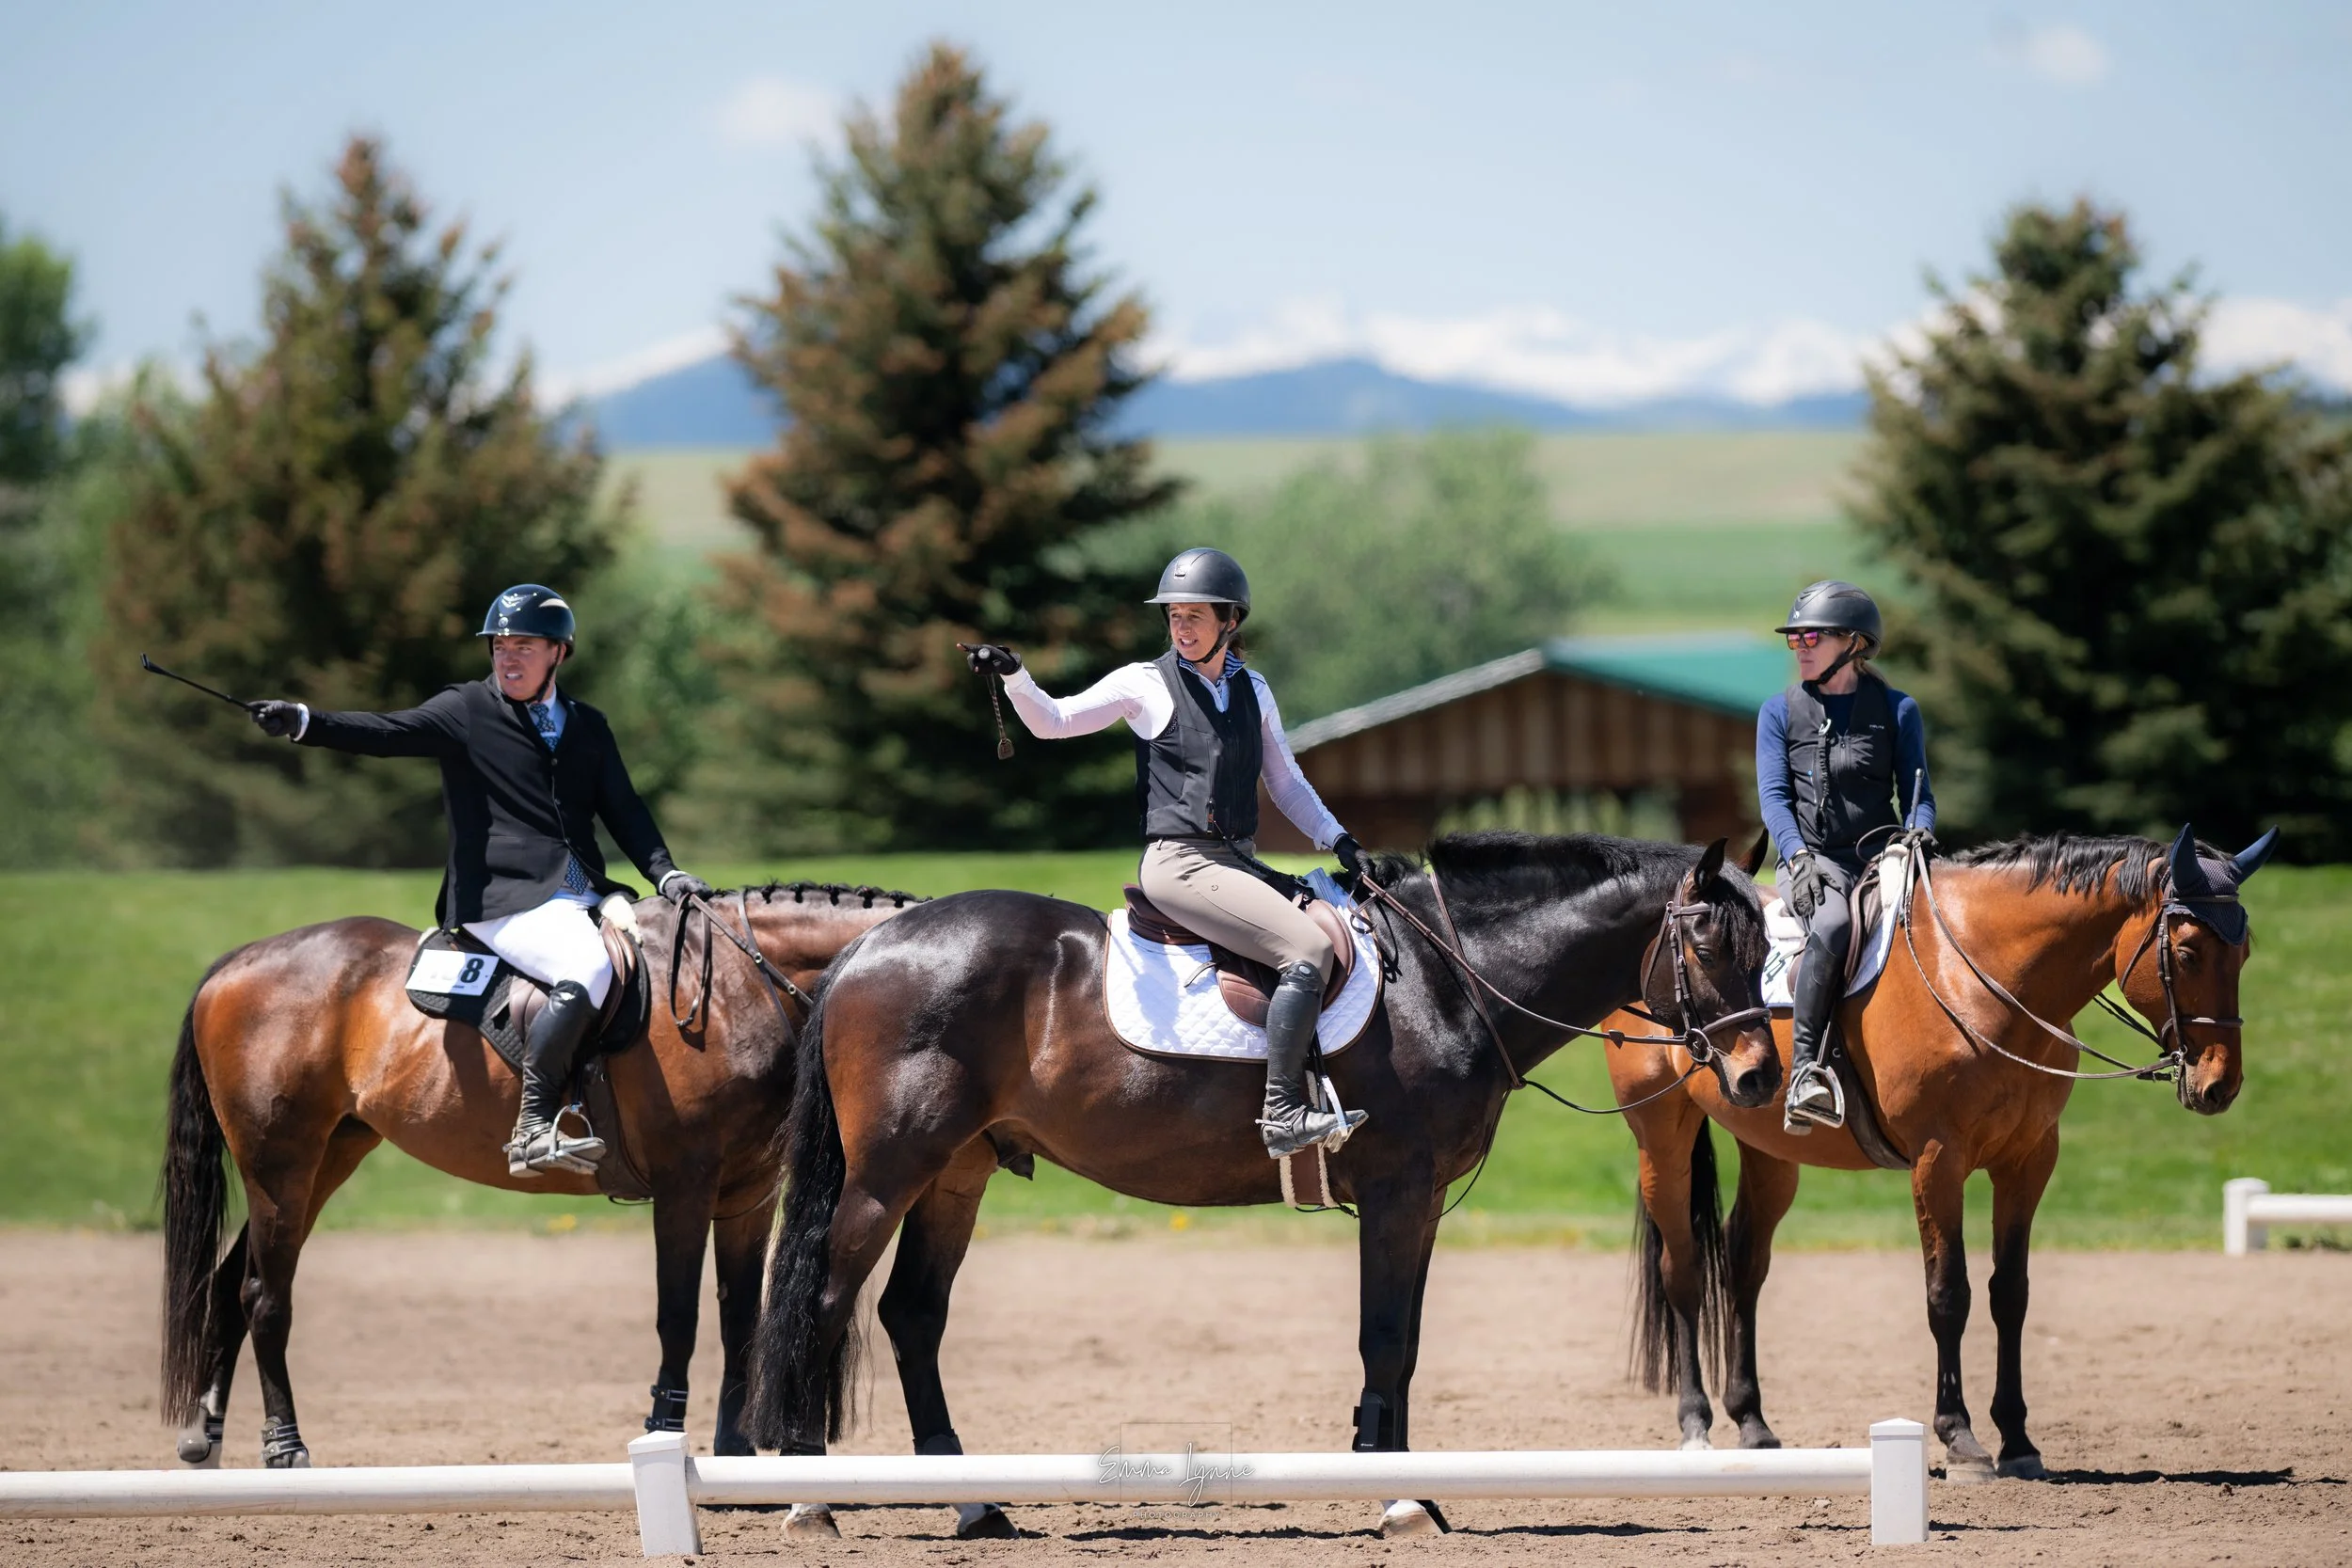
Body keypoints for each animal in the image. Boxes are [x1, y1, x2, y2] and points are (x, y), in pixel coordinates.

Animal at [158, 880, 920, 1470]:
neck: (739, 990)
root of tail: (237, 961)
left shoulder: (747, 1194)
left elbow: (740, 1319)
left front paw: (736, 1457)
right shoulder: (684, 1188)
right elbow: (679, 1315)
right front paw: (665, 1433)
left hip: (327, 1157)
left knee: (229, 1283)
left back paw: (206, 1434)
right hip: (279, 1162)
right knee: (264, 1294)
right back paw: (285, 1446)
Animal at [741, 830, 1782, 1541]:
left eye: (1767, 941)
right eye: (1704, 942)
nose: (1759, 1078)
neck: (1444, 978)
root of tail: (870, 946)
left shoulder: (1420, 1204)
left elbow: (1400, 1345)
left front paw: (1403, 1486)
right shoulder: (1397, 1193)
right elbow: (1384, 1339)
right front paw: (1399, 1499)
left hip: (958, 1173)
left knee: (912, 1315)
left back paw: (975, 1507)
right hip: (891, 1172)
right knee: (826, 1300)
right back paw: (810, 1500)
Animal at [1607, 827, 2272, 1481]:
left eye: (2243, 954)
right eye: (2187, 953)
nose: (2220, 1086)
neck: (1981, 976)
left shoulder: (2028, 1160)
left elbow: (2011, 1293)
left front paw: (2018, 1440)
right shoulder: (1938, 1159)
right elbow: (1948, 1292)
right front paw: (1961, 1438)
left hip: (1769, 1149)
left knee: (1744, 1262)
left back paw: (1753, 1423)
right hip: (1661, 1138)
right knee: (1683, 1269)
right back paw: (1696, 1424)